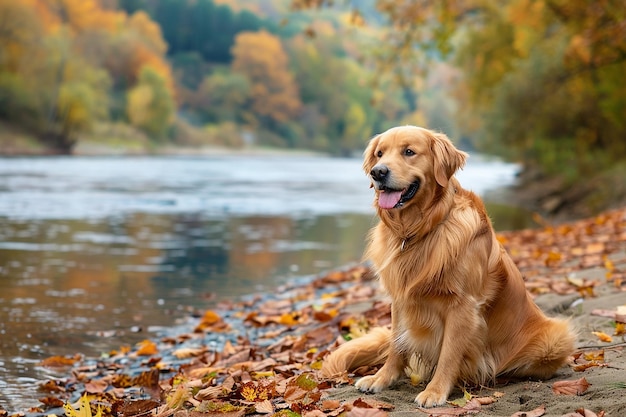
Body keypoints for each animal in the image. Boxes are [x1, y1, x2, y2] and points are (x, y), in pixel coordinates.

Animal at [324, 125, 572, 404]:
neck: (418, 230)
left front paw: (435, 391)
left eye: (409, 152)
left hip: (556, 338)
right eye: (379, 154)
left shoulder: (462, 305)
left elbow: (449, 353)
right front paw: (382, 378)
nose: (377, 172)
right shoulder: (400, 300)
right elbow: (396, 345)